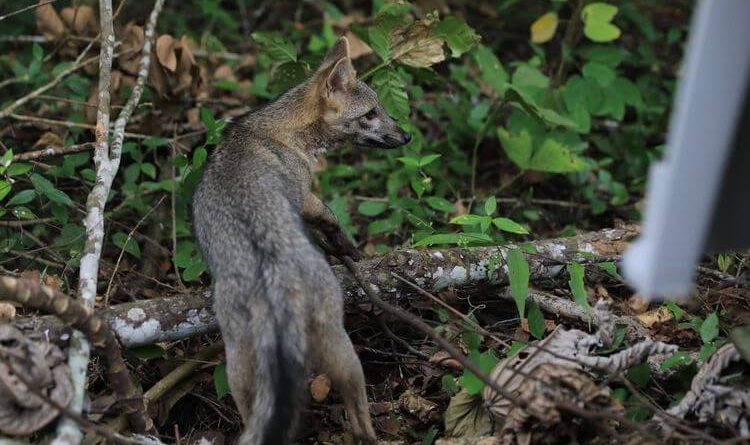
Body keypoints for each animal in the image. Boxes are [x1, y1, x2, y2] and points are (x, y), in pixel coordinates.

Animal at [192, 36, 411, 445]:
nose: (406, 136)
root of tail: (274, 280)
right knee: (360, 418)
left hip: (239, 372)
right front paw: (348, 247)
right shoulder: (306, 195)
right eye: (371, 113)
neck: (272, 131)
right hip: (341, 347)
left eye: (380, 108)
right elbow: (331, 217)